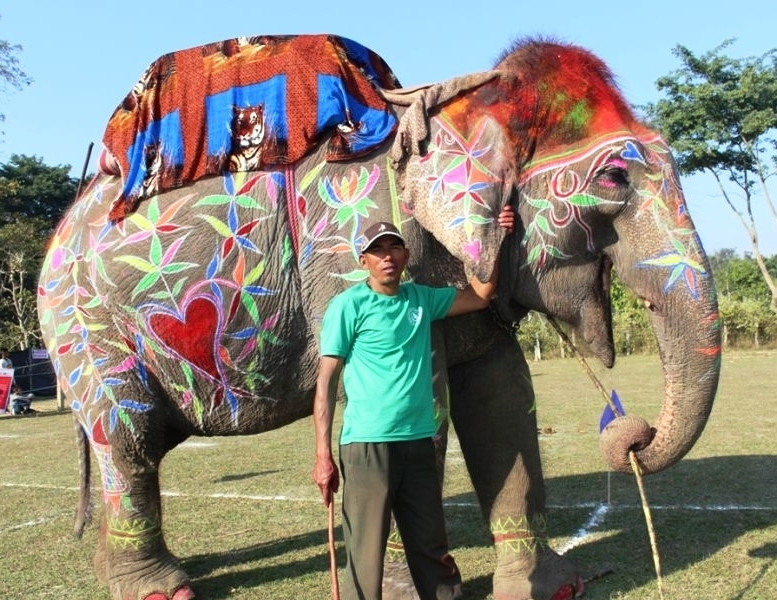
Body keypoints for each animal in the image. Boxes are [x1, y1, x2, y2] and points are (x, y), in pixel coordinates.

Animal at [34, 34, 716, 600]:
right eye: (615, 178)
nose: (634, 435)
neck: (456, 103)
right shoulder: (350, 241)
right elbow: (427, 404)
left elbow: (502, 398)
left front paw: (552, 589)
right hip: (83, 326)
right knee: (130, 434)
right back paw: (162, 590)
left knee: (137, 443)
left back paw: (120, 571)